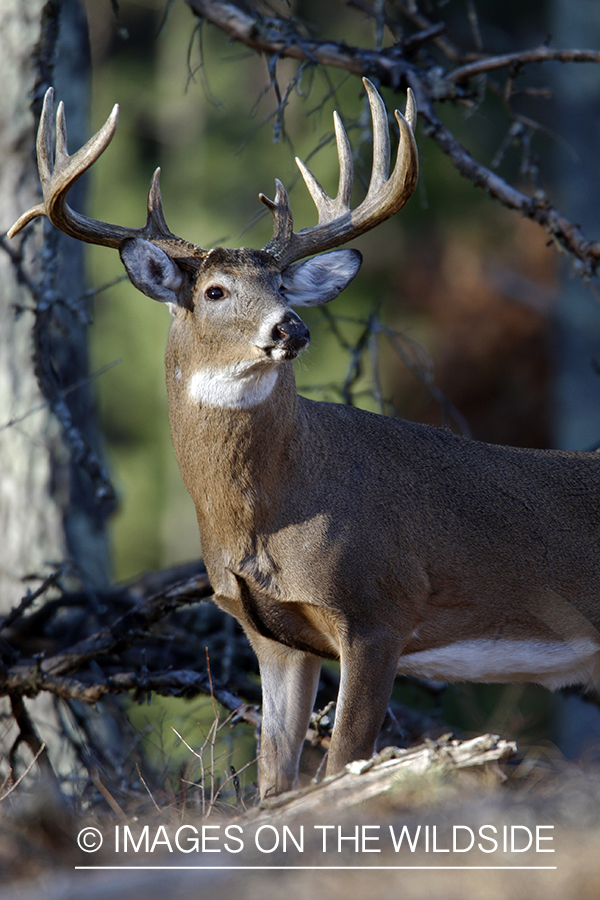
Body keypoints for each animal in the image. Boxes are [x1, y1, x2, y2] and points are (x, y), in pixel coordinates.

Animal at [9, 77, 600, 796]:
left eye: (282, 285)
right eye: (215, 290)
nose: (290, 327)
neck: (269, 515)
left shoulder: (379, 609)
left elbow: (344, 762)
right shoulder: (272, 633)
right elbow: (276, 776)